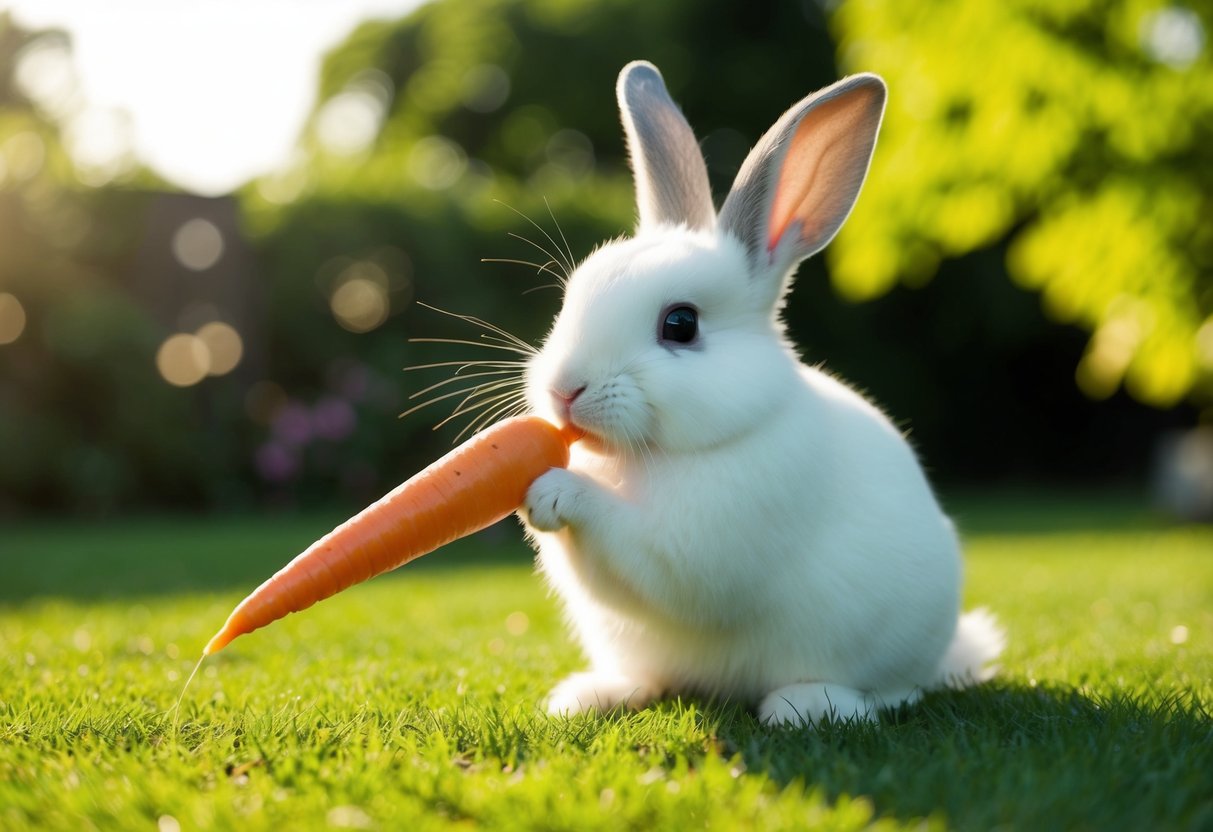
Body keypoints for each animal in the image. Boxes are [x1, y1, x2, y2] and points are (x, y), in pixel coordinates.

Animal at [520, 60, 1004, 726]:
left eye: (680, 325)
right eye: (571, 298)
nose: (564, 390)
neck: (651, 458)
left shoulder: (695, 549)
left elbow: (636, 548)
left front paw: (553, 491)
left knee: (892, 693)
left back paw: (805, 706)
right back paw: (590, 697)